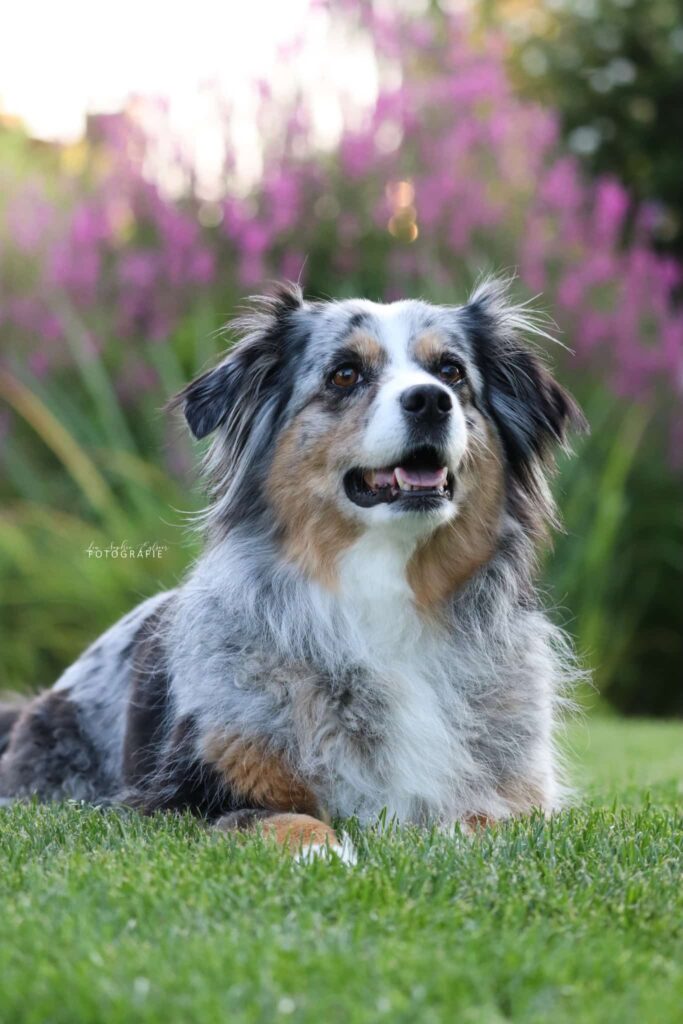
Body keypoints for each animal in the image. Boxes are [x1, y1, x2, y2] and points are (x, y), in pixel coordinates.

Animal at [0, 278, 586, 861]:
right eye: (345, 374)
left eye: (452, 372)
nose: (430, 400)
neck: (384, 596)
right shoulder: (180, 797)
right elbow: (282, 818)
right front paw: (325, 854)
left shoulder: (522, 799)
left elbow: (483, 823)